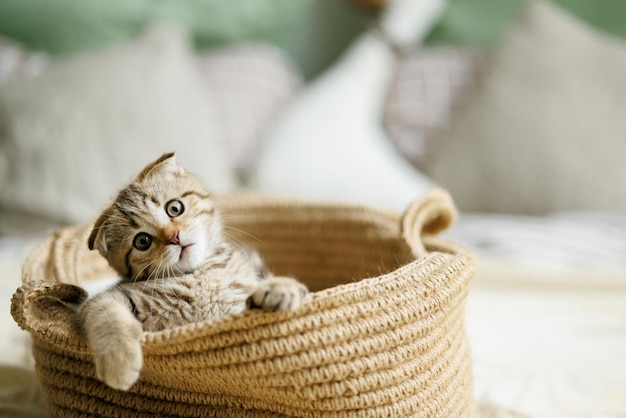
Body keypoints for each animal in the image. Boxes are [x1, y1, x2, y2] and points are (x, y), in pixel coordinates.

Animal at [79, 153, 308, 392]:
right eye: (142, 241)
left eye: (174, 208)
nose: (174, 237)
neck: (197, 275)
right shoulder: (111, 297)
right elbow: (105, 312)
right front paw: (118, 361)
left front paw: (280, 288)